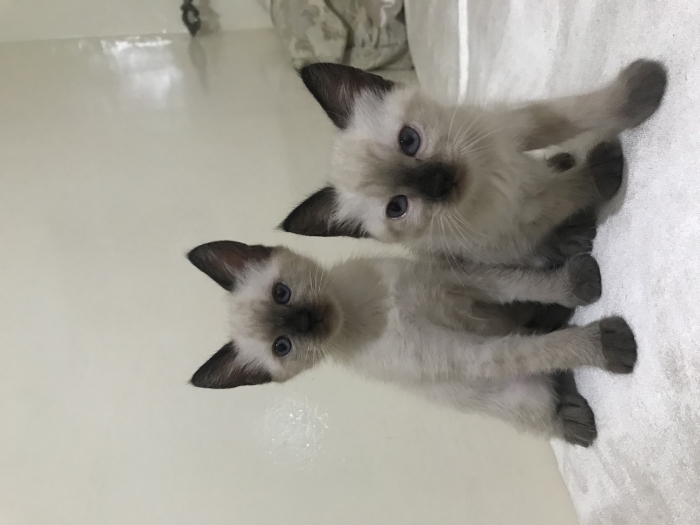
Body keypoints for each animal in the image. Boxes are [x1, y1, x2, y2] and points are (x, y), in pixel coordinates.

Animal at [186, 240, 638, 447]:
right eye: (282, 347)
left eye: (281, 293)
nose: (305, 320)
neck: (366, 310)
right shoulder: (468, 354)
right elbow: (538, 349)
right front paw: (610, 343)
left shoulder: (461, 283)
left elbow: (522, 284)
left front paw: (578, 284)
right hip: (517, 398)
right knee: (548, 393)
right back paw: (577, 417)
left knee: (530, 320)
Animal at [280, 59, 667, 267]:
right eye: (397, 207)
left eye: (409, 140)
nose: (439, 181)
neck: (487, 174)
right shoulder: (526, 214)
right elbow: (571, 189)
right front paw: (605, 168)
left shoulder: (514, 128)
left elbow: (580, 113)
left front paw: (647, 86)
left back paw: (561, 160)